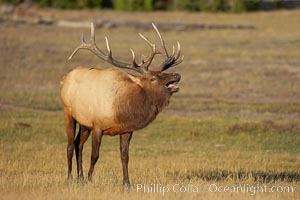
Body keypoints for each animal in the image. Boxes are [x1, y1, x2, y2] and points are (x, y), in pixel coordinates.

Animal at [60, 22, 183, 188]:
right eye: (153, 78)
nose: (177, 74)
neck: (122, 110)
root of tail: (64, 79)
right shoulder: (98, 125)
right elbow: (95, 155)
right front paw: (90, 179)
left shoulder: (126, 130)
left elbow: (125, 156)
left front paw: (127, 183)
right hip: (68, 112)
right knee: (70, 145)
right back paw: (70, 177)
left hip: (84, 123)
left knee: (78, 144)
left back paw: (80, 177)